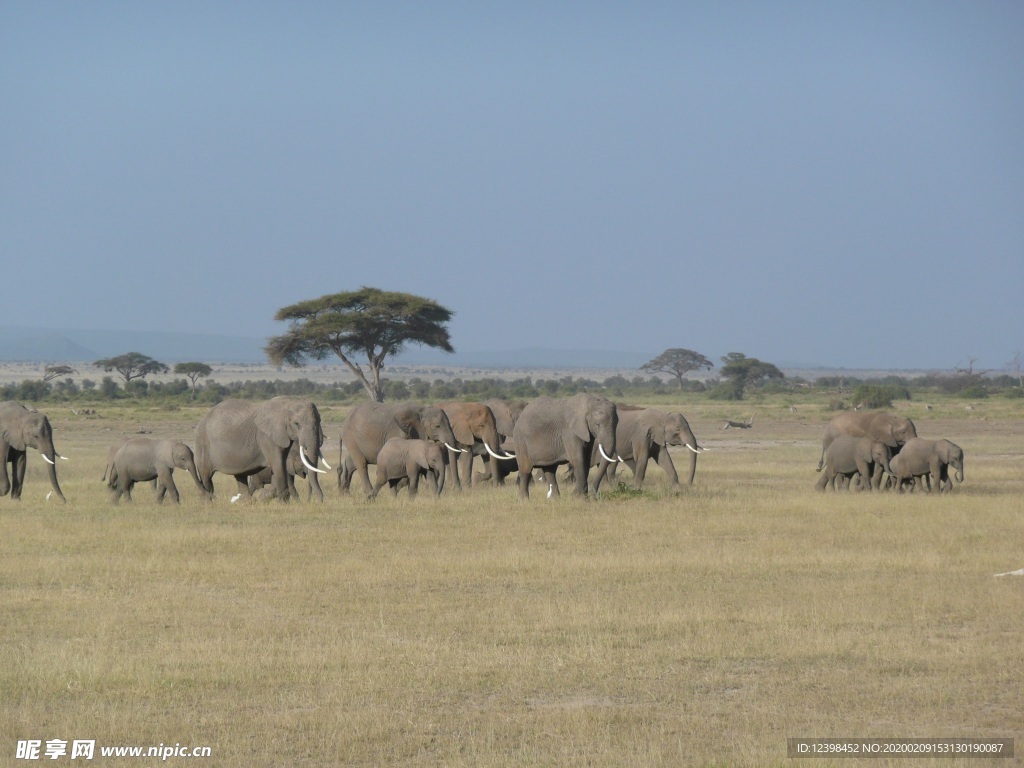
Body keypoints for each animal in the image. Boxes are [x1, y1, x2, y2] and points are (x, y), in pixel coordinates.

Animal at [193, 397, 325, 505]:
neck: (287, 402)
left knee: (240, 475)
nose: (318, 502)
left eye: (319, 420)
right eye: (296, 424)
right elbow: (278, 466)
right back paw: (207, 502)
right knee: (206, 476)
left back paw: (247, 502)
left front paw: (263, 497)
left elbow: (280, 465)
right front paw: (283, 503)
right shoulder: (266, 437)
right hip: (202, 444)